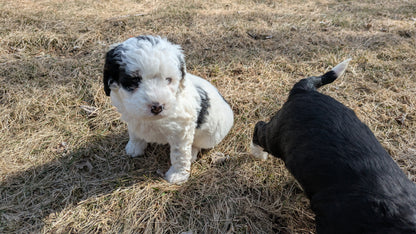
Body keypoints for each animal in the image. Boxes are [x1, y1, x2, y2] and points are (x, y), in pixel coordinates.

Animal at [103, 35, 234, 184]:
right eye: (134, 80)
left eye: (168, 79)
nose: (157, 107)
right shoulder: (131, 115)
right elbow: (134, 132)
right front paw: (135, 147)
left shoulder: (181, 130)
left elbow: (179, 153)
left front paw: (178, 175)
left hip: (212, 135)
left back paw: (192, 153)